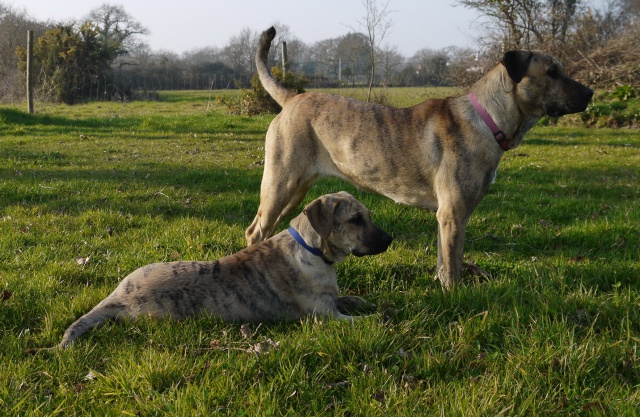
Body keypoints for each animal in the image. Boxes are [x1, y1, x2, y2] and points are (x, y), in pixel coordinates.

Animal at [60, 193, 390, 348]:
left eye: (367, 215)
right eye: (356, 219)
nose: (389, 239)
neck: (311, 250)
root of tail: (118, 298)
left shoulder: (331, 301)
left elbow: (349, 298)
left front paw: (363, 301)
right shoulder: (324, 316)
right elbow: (364, 321)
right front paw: (382, 319)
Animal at [246, 26, 596, 290]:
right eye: (551, 72)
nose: (591, 93)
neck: (489, 119)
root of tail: (292, 98)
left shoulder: (452, 215)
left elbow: (445, 259)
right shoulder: (453, 212)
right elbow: (453, 263)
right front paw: (454, 294)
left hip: (294, 191)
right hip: (280, 184)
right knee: (255, 231)